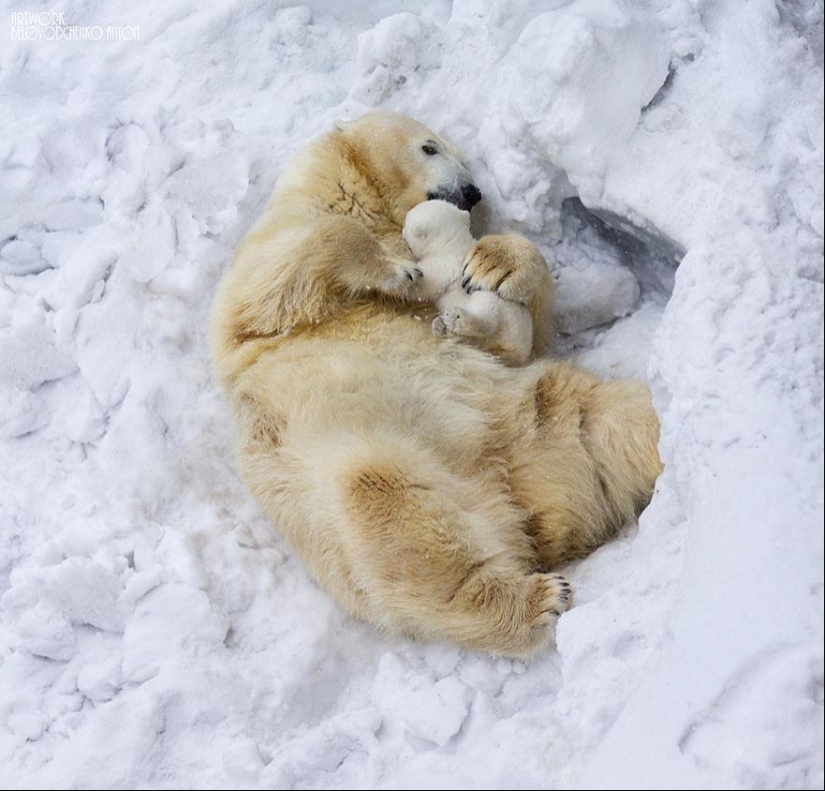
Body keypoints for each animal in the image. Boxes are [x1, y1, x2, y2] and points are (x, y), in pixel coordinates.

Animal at [406, 198, 536, 366]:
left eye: (405, 226)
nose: (402, 231)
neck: (452, 241)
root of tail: (520, 350)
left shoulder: (445, 263)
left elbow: (425, 284)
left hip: (504, 311)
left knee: (487, 315)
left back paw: (454, 318)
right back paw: (441, 327)